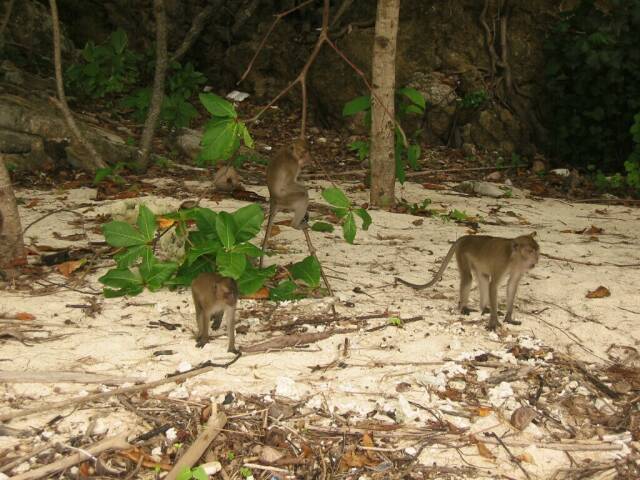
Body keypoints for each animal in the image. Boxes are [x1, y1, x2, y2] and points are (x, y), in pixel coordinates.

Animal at [258, 138, 312, 270]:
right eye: (304, 152)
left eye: (308, 151)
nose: (309, 158)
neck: (291, 153)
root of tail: (273, 199)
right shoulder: (294, 165)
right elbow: (289, 184)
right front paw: (304, 188)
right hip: (286, 200)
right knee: (302, 197)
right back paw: (295, 225)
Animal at [396, 232, 540, 330]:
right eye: (530, 251)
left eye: (537, 250)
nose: (536, 260)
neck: (514, 257)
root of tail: (467, 237)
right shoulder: (502, 263)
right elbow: (493, 285)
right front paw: (494, 321)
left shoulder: (519, 267)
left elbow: (511, 285)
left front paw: (508, 317)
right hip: (462, 253)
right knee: (468, 277)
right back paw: (464, 307)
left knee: (483, 278)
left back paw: (484, 308)